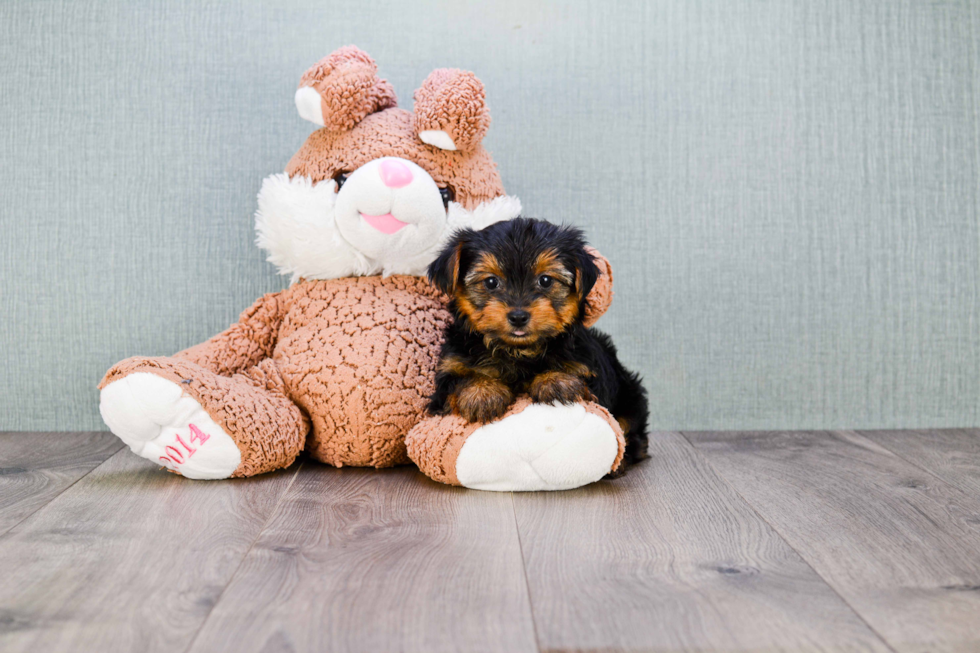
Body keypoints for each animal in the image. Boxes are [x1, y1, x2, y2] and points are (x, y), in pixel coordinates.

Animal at [424, 219, 648, 468]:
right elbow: (458, 380)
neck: (517, 350)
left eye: (545, 280)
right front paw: (481, 393)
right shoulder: (449, 371)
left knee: (629, 428)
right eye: (491, 282)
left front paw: (555, 380)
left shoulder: (588, 369)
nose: (518, 316)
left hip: (630, 394)